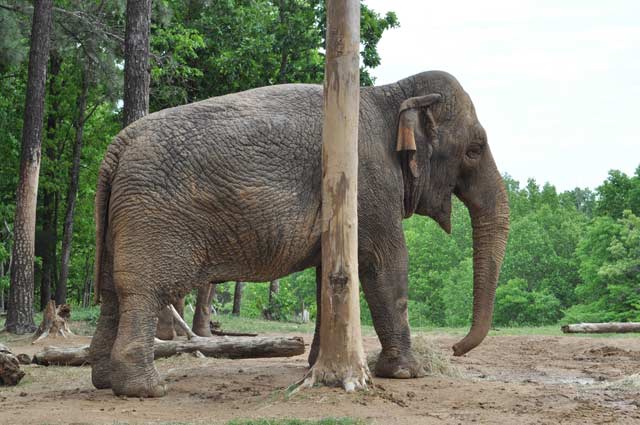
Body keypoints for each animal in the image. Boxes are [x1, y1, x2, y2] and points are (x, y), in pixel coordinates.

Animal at [89, 70, 510, 398]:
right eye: (474, 149)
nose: (455, 348)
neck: (390, 92)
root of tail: (116, 147)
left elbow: (331, 272)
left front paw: (314, 367)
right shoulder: (367, 182)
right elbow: (384, 263)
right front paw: (408, 373)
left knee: (111, 294)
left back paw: (105, 381)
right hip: (153, 218)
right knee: (144, 291)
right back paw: (147, 389)